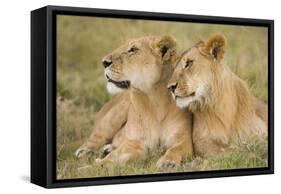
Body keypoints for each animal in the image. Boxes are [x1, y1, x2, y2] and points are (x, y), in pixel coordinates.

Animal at [77, 35, 194, 168]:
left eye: (133, 50)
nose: (104, 62)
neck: (155, 100)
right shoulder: (134, 143)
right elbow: (109, 160)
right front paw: (88, 168)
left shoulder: (183, 140)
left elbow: (175, 150)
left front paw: (167, 162)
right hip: (114, 115)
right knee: (96, 137)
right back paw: (84, 152)